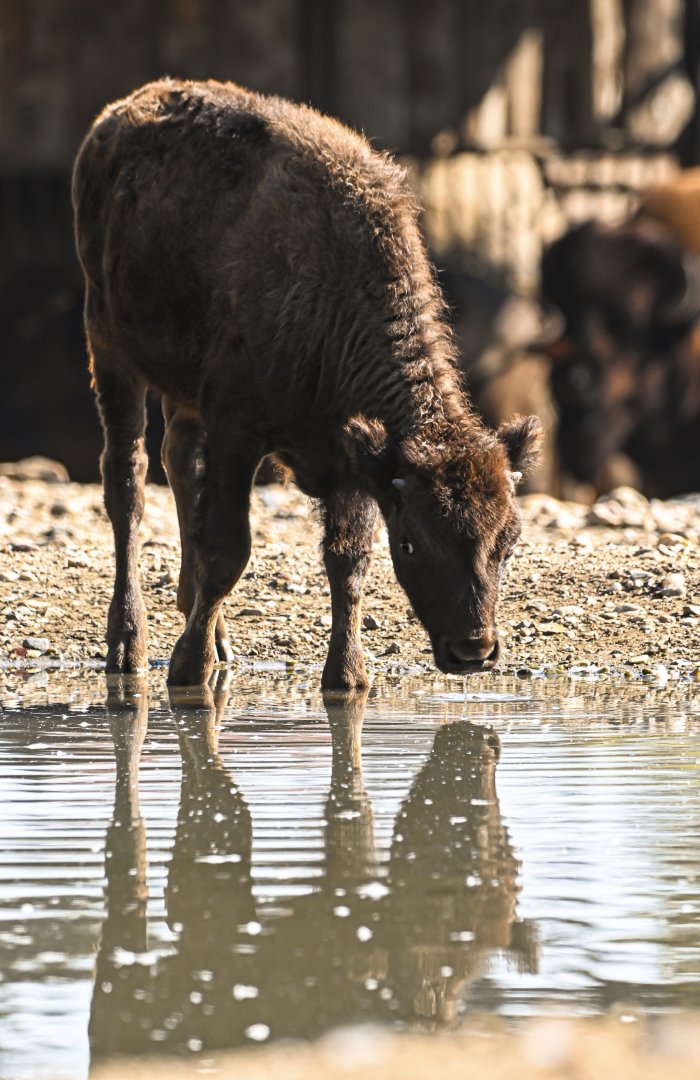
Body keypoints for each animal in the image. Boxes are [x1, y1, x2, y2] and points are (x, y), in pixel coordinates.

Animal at [72, 79, 540, 688]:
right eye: (411, 542)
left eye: (508, 541)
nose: (473, 650)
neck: (334, 291)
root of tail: (116, 116)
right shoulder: (237, 428)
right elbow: (228, 549)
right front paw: (188, 669)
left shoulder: (354, 458)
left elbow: (348, 560)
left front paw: (347, 675)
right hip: (109, 348)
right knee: (127, 480)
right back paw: (129, 643)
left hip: (183, 392)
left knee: (178, 462)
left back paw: (210, 629)